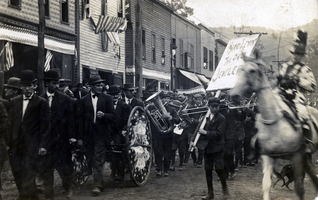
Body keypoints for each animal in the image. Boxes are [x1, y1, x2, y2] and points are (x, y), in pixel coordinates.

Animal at [229, 54, 318, 200]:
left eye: (252, 70)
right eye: (239, 69)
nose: (233, 95)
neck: (275, 124)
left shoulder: (297, 156)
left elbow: (299, 189)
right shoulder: (268, 157)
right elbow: (266, 185)